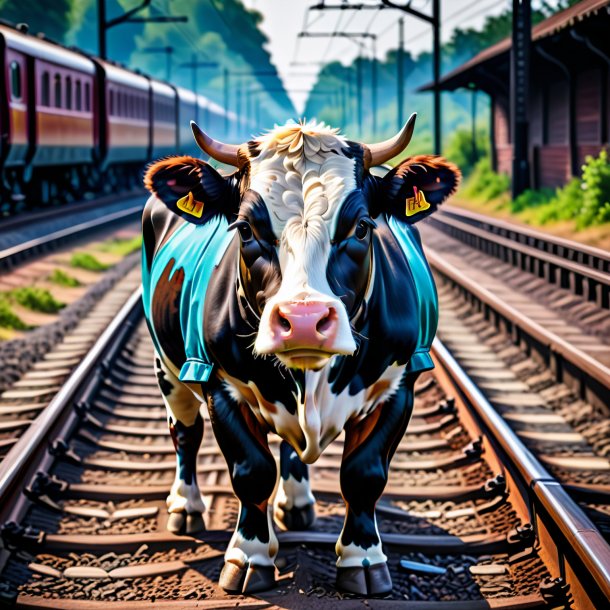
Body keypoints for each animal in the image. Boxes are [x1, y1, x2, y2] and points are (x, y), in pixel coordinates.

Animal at [141, 116, 456, 596]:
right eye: (245, 229)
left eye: (362, 227)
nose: (304, 320)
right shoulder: (220, 384)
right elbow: (252, 470)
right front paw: (249, 556)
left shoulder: (400, 384)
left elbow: (364, 474)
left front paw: (363, 559)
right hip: (167, 367)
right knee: (185, 434)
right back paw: (186, 506)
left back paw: (298, 502)